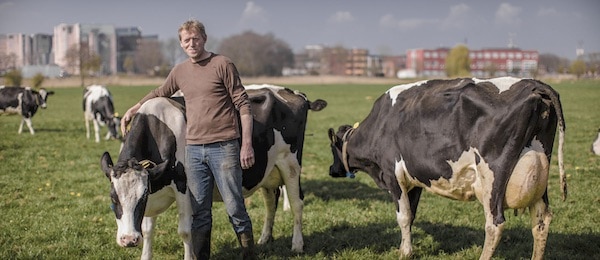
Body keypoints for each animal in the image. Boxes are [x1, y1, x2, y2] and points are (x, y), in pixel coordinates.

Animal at [100, 85, 326, 258]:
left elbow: (185, 231)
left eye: (141, 197)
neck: (158, 128)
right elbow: (147, 230)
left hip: (290, 164)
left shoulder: (184, 188)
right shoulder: (153, 186)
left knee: (297, 203)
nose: (129, 240)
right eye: (113, 198)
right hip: (267, 170)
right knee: (271, 201)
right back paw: (264, 239)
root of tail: (293, 92)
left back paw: (297, 244)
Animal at [328, 77, 568, 260]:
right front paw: (406, 248)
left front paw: (405, 252)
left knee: (495, 224)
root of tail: (533, 84)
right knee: (541, 221)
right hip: (539, 172)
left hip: (493, 177)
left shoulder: (392, 175)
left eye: (332, 147)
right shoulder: (414, 179)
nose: (332, 170)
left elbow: (403, 216)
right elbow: (411, 215)